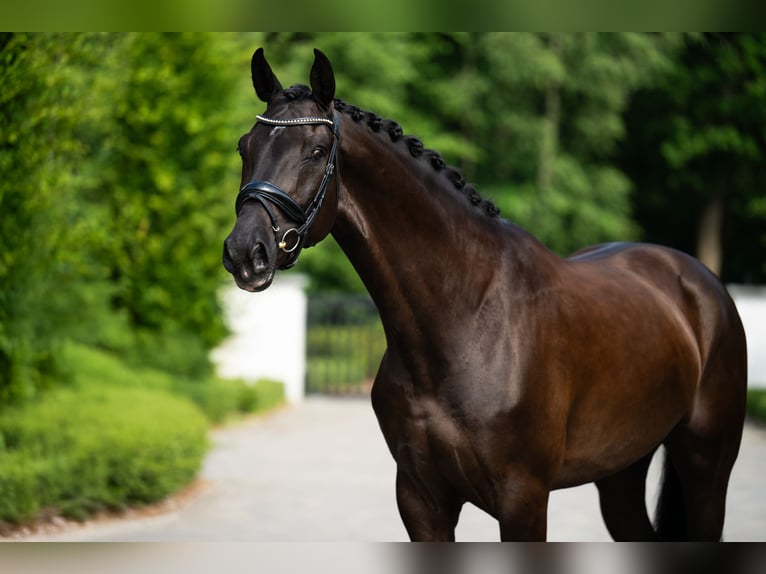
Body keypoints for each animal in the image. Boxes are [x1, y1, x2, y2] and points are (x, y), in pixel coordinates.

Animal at [222, 48, 748, 541]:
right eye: (245, 146)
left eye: (315, 150)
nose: (246, 253)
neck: (465, 320)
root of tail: (697, 279)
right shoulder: (420, 499)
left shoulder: (523, 501)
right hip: (620, 473)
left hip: (705, 470)